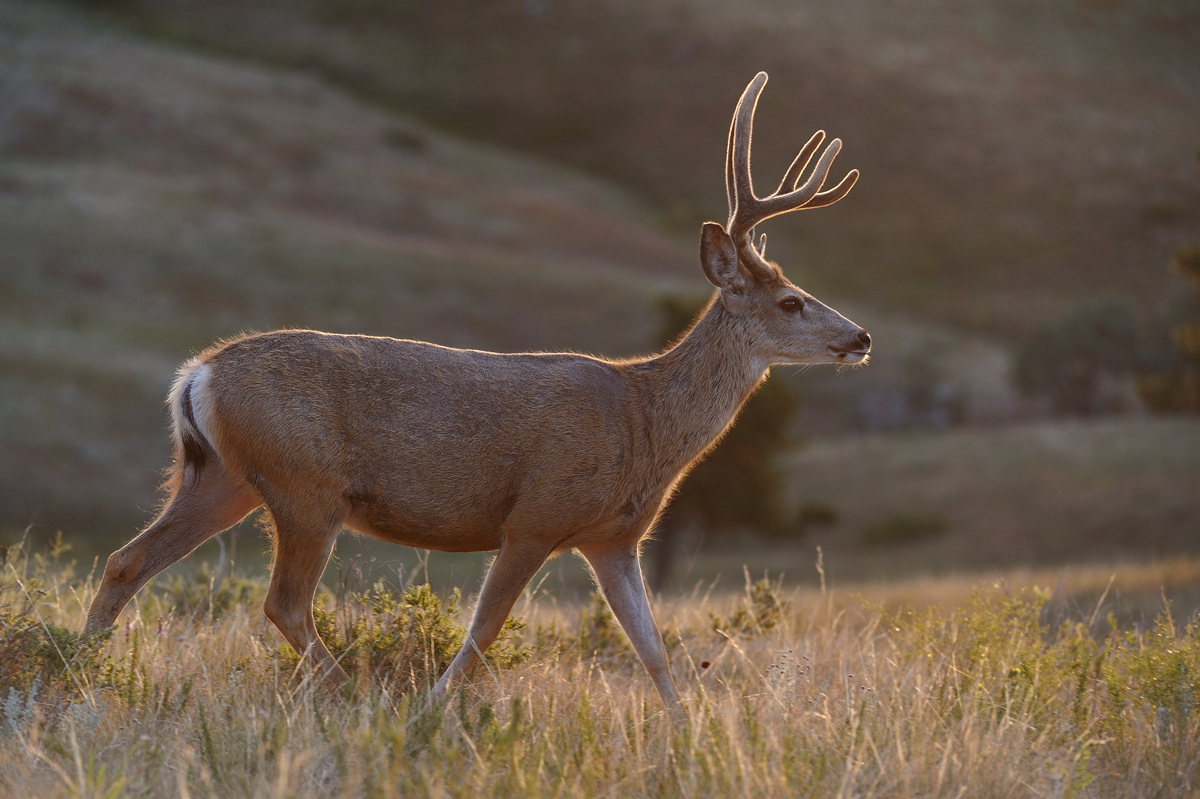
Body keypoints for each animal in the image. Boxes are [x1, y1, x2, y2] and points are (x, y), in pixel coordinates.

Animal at [84, 72, 870, 718]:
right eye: (793, 301)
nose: (860, 337)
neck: (644, 420)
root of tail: (197, 374)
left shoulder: (614, 537)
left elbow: (651, 648)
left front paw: (686, 732)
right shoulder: (535, 514)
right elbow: (484, 629)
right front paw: (432, 708)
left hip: (226, 476)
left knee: (127, 560)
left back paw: (80, 673)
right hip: (305, 485)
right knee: (284, 603)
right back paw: (356, 699)